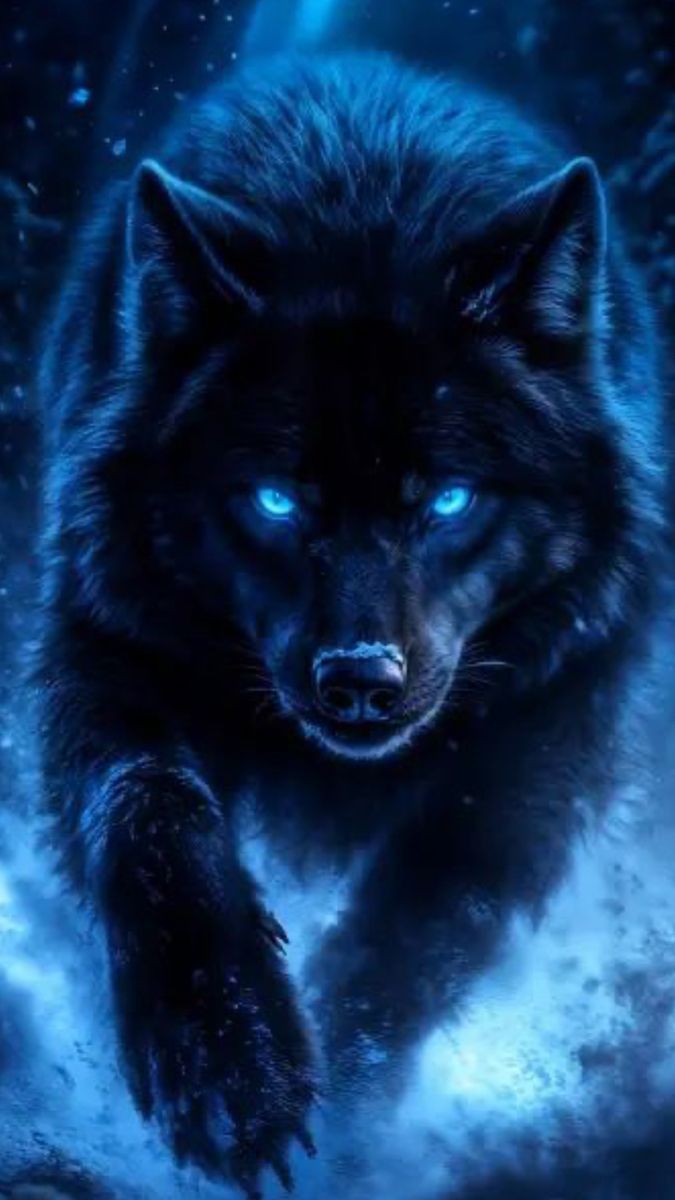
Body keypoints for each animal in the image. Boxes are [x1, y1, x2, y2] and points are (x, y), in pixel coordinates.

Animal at [37, 52, 668, 1196]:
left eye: (448, 500)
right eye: (278, 501)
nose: (361, 682)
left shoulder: (556, 726)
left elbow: (424, 918)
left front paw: (348, 1098)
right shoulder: (100, 649)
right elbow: (150, 812)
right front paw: (229, 1069)